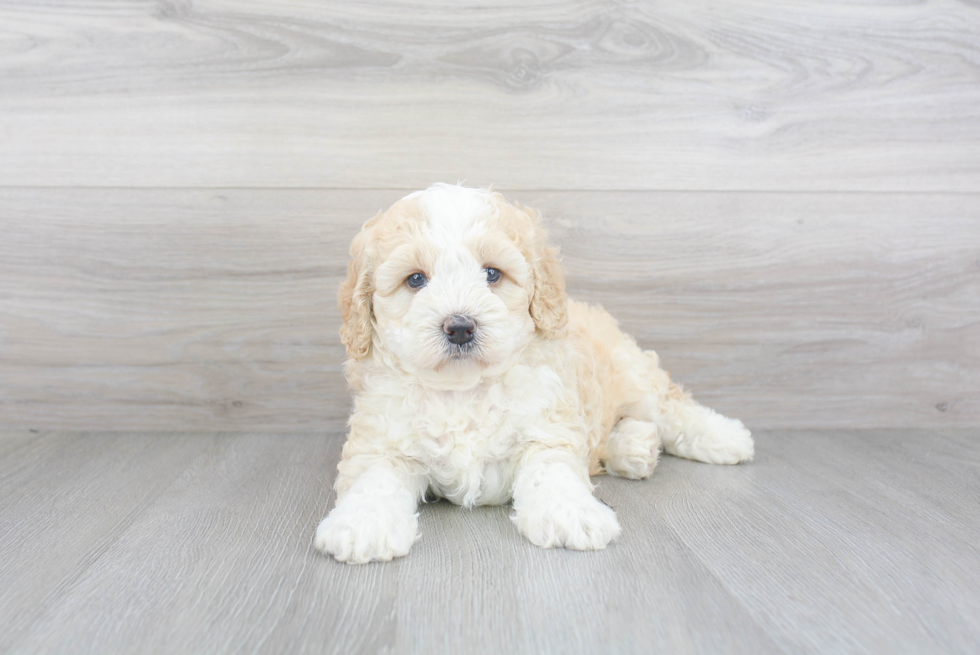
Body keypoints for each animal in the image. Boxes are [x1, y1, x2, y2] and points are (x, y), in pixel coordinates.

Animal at [314, 183, 752, 564]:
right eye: (416, 279)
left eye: (492, 274)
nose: (460, 327)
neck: (463, 389)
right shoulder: (382, 440)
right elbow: (374, 478)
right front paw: (362, 524)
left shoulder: (547, 427)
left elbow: (551, 471)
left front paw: (570, 514)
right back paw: (634, 447)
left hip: (633, 372)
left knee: (672, 408)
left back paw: (724, 437)